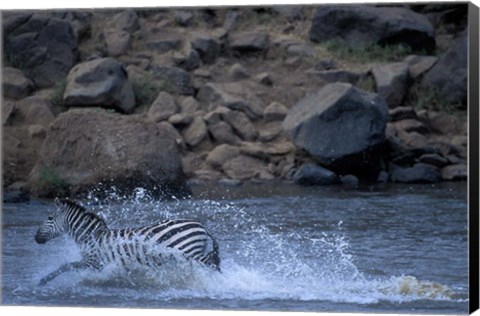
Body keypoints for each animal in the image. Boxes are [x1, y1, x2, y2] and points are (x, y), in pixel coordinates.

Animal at [34, 199, 221, 286]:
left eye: (49, 218)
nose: (35, 238)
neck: (91, 236)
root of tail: (201, 225)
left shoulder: (94, 262)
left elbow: (65, 266)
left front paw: (44, 280)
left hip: (188, 251)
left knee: (212, 263)